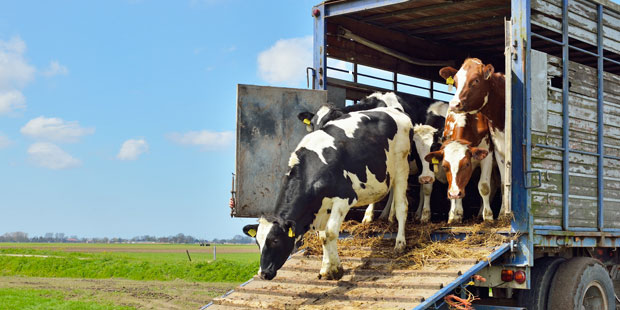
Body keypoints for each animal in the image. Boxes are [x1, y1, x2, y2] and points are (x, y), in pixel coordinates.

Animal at [245, 105, 414, 280]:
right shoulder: (322, 207)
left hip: (402, 166)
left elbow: (330, 233)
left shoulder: (344, 198)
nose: (263, 273)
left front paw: (334, 270)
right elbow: (322, 236)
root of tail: (394, 110)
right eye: (257, 242)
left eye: (275, 240)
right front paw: (327, 267)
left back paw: (400, 243)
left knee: (402, 206)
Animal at [438, 58, 506, 218]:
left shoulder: (488, 152)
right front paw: (454, 214)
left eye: (475, 80)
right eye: (455, 82)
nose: (454, 104)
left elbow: (484, 186)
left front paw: (489, 216)